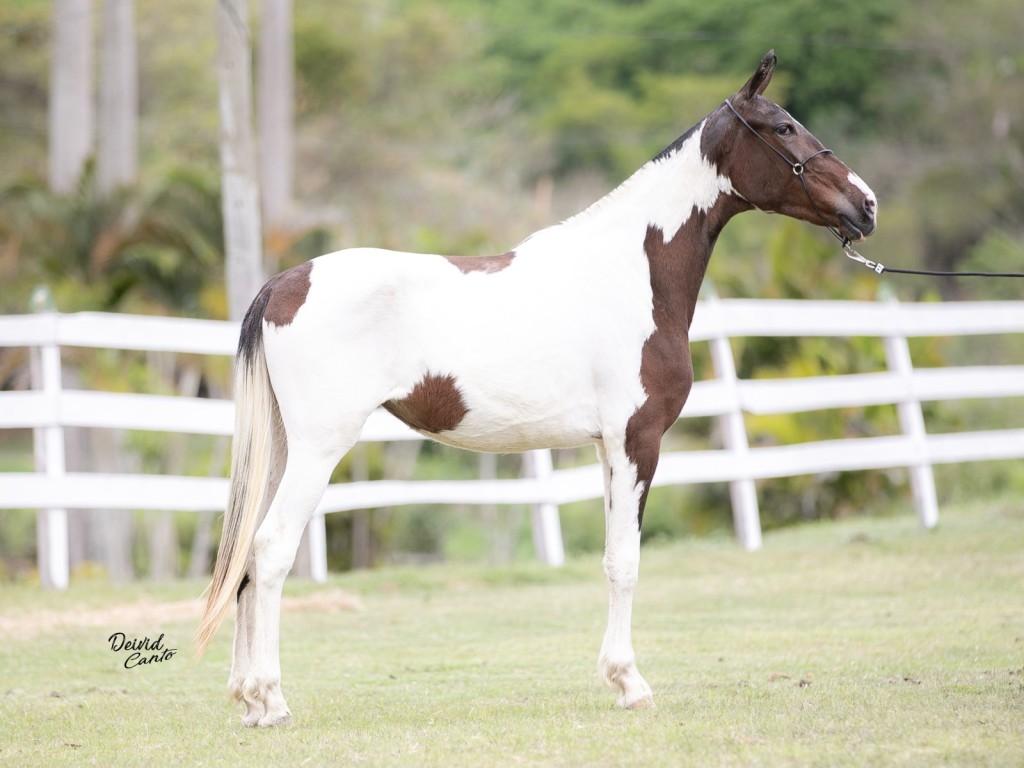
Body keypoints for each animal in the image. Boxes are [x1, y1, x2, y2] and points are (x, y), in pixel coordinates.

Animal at [195, 52, 876, 729]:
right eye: (784, 127)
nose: (866, 204)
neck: (631, 272)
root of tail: (284, 283)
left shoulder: (607, 446)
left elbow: (610, 558)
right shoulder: (637, 440)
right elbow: (626, 561)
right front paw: (630, 684)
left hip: (282, 447)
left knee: (246, 557)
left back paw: (247, 699)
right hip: (319, 448)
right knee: (272, 548)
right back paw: (272, 699)